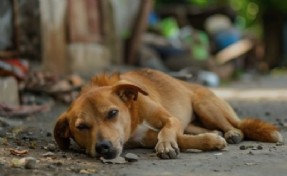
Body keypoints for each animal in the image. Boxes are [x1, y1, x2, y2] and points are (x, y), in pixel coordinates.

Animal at [53, 69, 284, 160]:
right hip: (193, 121)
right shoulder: (144, 138)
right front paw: (210, 141)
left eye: (112, 113)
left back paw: (231, 133)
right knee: (200, 129)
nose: (103, 147)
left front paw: (165, 145)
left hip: (204, 105)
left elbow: (167, 131)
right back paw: (216, 133)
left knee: (236, 126)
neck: (133, 114)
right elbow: (182, 139)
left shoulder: (170, 119)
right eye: (81, 127)